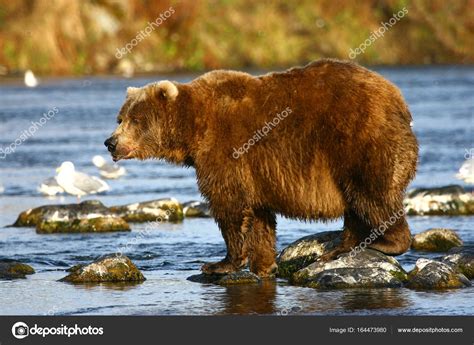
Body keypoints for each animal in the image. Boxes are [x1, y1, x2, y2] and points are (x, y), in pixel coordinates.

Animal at [104, 59, 418, 276]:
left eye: (135, 119)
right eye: (120, 118)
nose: (110, 142)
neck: (193, 130)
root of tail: (398, 100)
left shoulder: (226, 150)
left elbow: (228, 205)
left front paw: (219, 263)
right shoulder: (256, 172)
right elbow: (258, 215)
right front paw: (264, 265)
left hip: (357, 140)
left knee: (372, 193)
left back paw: (387, 243)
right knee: (355, 202)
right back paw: (339, 249)